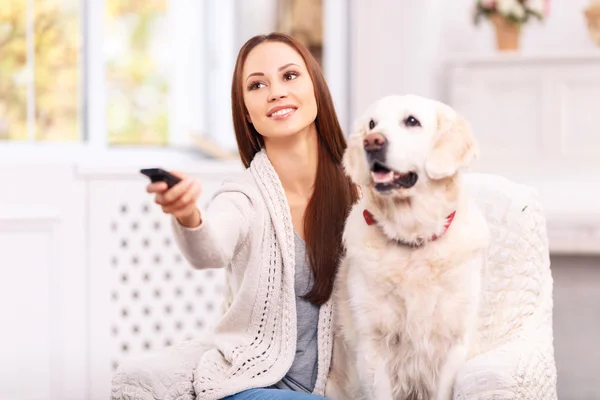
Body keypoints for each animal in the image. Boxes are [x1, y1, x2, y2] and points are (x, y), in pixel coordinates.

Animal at [326, 94, 490, 400]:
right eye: (371, 124)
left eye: (412, 121)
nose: (372, 142)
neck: (413, 241)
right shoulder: (373, 345)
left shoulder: (455, 342)